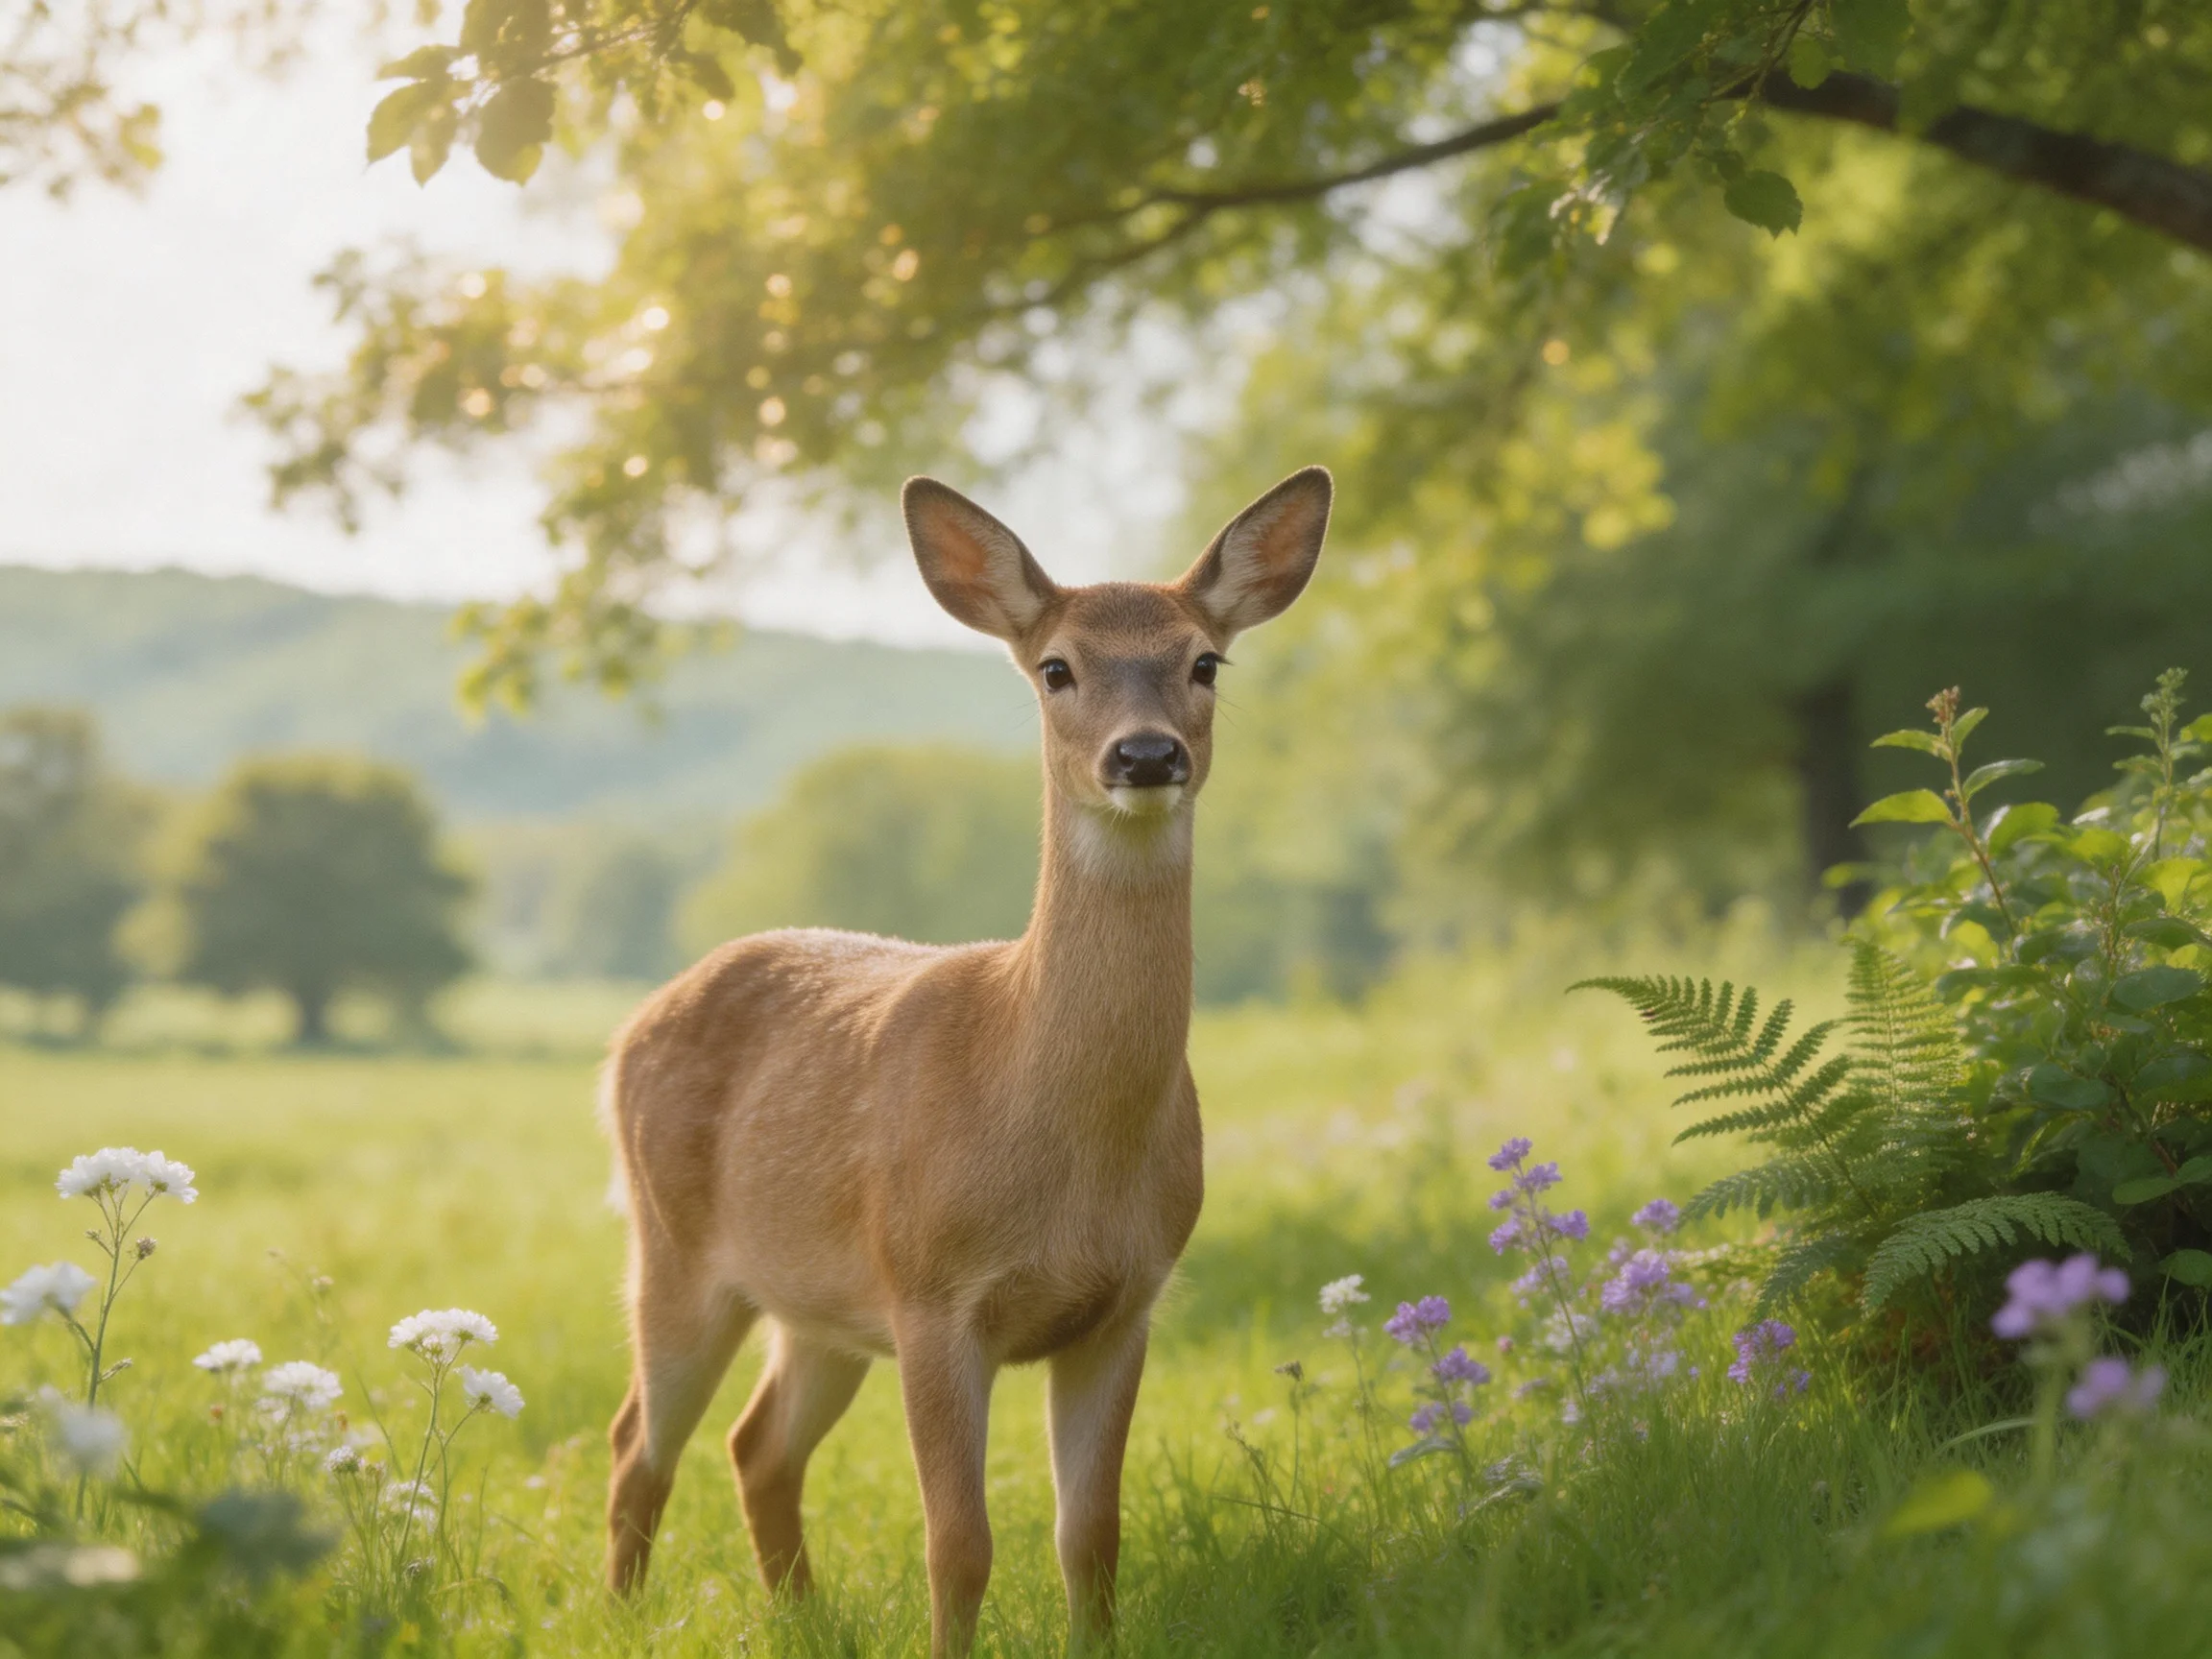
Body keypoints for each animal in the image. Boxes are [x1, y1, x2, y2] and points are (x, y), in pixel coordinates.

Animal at [598, 465, 1332, 1655]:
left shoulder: (1127, 1302)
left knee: (757, 1445)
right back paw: (623, 1613)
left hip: (820, 1304)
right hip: (674, 1251)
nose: (1145, 755)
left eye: (1204, 662)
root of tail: (630, 1028)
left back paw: (804, 1618)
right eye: (1056, 667)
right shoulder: (934, 1294)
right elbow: (960, 1544)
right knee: (638, 1442)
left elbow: (1093, 1537)